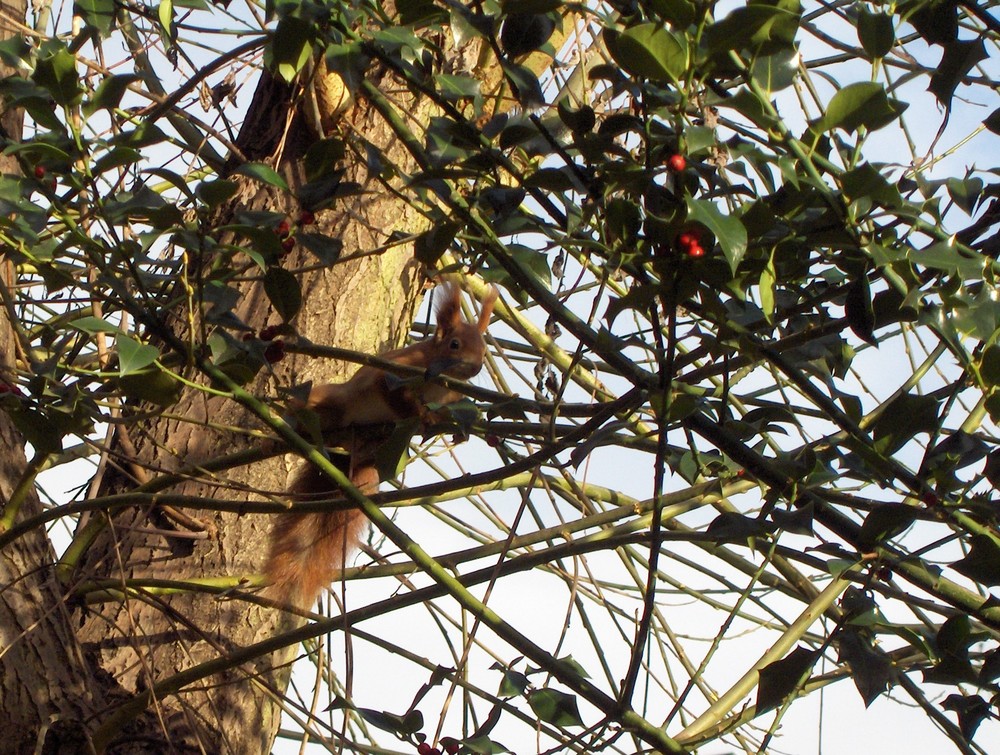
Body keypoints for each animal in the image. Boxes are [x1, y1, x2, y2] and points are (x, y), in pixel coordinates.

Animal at [268, 284, 498, 608]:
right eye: (454, 344)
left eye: (484, 349)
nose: (476, 366)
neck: (441, 382)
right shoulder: (395, 373)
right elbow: (392, 396)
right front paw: (422, 416)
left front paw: (450, 426)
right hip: (334, 401)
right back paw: (297, 424)